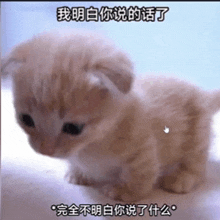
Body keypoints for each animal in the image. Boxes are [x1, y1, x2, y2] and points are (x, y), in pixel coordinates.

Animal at [1, 30, 220, 202]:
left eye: (73, 128)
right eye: (26, 119)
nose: (45, 151)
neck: (91, 144)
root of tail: (203, 93)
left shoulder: (143, 150)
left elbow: (140, 174)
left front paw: (126, 192)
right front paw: (79, 174)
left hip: (197, 134)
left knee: (196, 162)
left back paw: (181, 178)